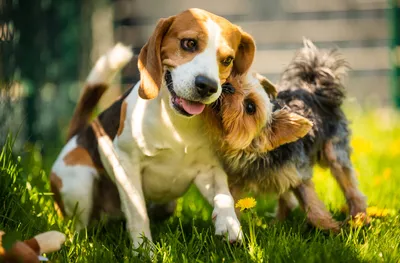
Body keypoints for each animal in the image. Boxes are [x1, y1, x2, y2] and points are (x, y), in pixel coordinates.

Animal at [205, 39, 368, 233]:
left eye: (250, 107)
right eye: (232, 78)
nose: (227, 87)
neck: (255, 154)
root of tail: (315, 86)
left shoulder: (298, 174)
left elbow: (313, 206)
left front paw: (331, 230)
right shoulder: (237, 180)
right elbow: (233, 202)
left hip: (334, 150)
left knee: (350, 185)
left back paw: (359, 219)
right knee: (286, 198)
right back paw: (278, 224)